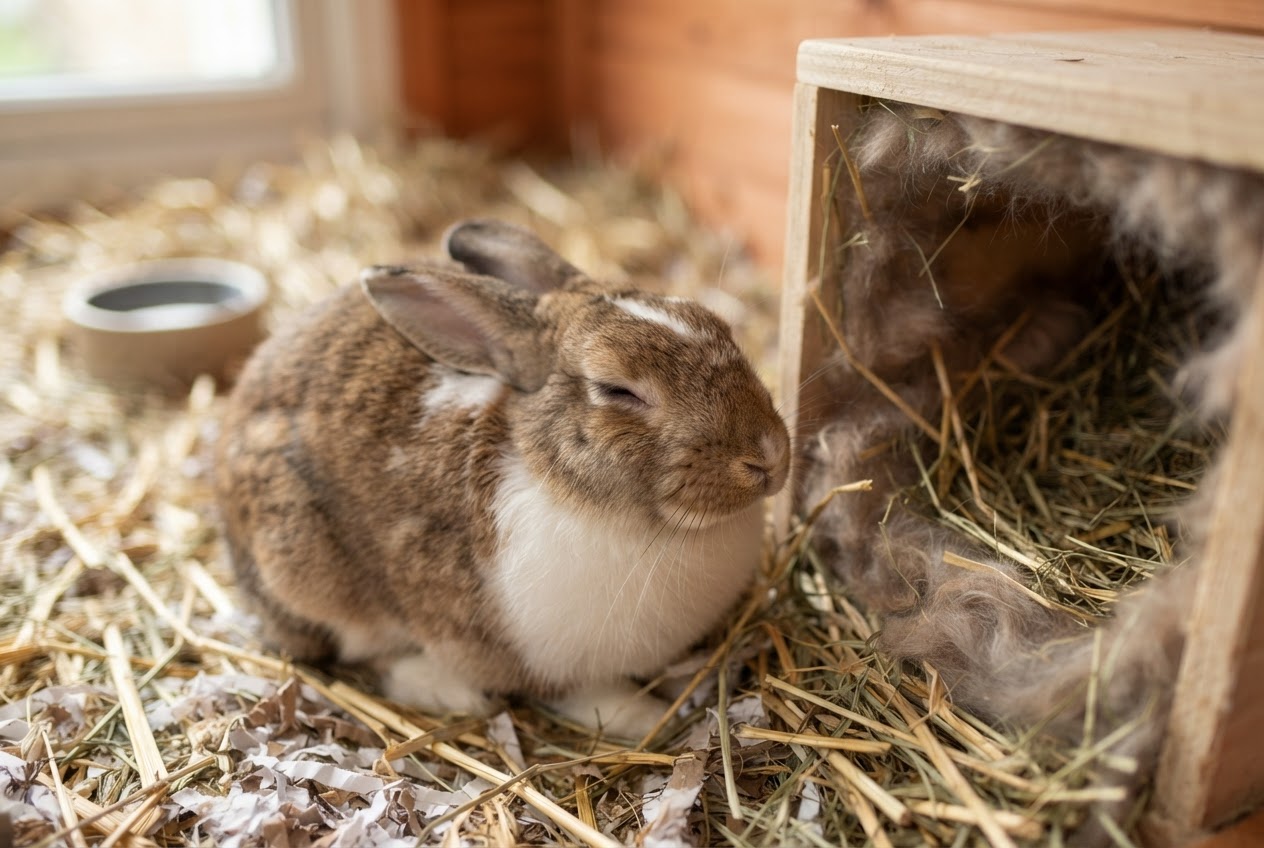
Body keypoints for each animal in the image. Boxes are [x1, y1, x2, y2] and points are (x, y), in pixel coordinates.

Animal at [215, 219, 790, 737]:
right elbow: (590, 696)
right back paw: (450, 691)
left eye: (721, 326)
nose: (768, 456)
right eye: (617, 390)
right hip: (308, 572)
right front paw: (645, 718)